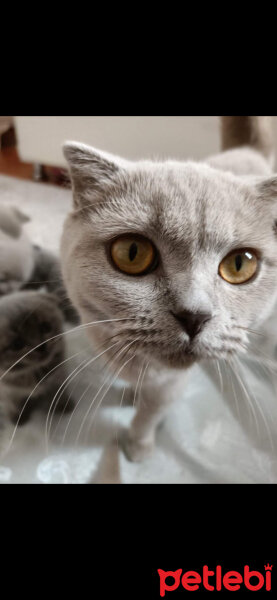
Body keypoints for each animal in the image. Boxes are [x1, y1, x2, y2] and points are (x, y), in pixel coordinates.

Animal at [59, 118, 276, 464]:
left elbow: (149, 413)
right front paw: (132, 395)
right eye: (132, 252)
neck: (142, 365)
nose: (195, 315)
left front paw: (138, 446)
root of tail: (248, 150)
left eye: (240, 264)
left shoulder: (170, 386)